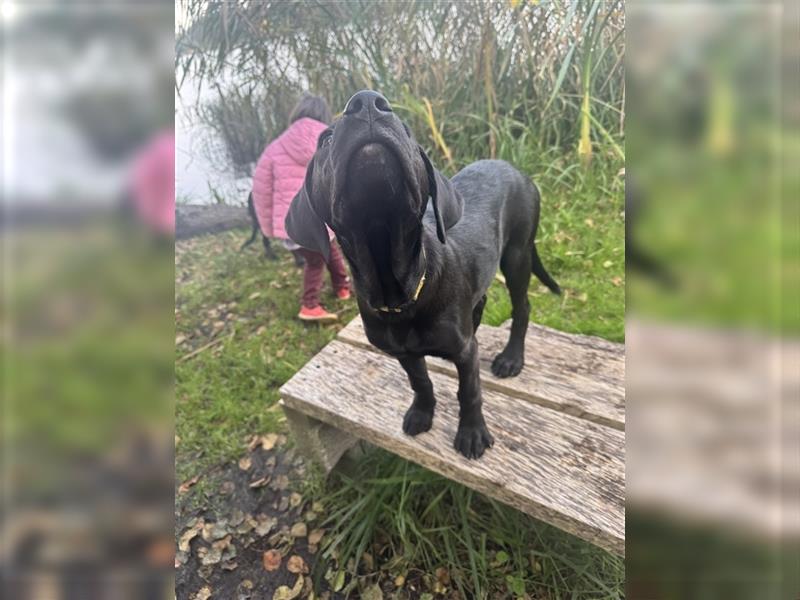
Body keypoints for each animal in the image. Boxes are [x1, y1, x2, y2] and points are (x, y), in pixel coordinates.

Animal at [286, 90, 556, 460]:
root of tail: (515, 169)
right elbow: (421, 381)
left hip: (517, 255)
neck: (400, 291)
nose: (366, 102)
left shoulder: (464, 353)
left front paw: (472, 433)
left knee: (522, 307)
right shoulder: (403, 352)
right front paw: (422, 413)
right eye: (324, 139)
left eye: (407, 130)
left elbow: (469, 391)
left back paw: (512, 358)